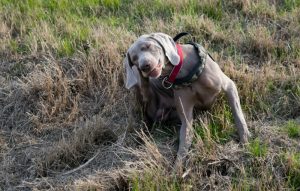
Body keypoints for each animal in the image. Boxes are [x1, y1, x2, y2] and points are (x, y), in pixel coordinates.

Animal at [124, 32, 251, 163]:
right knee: (143, 90)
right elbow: (185, 140)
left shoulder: (229, 86)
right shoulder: (186, 116)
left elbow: (238, 114)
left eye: (148, 46)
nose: (144, 67)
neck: (181, 72)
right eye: (134, 59)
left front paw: (245, 141)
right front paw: (177, 167)